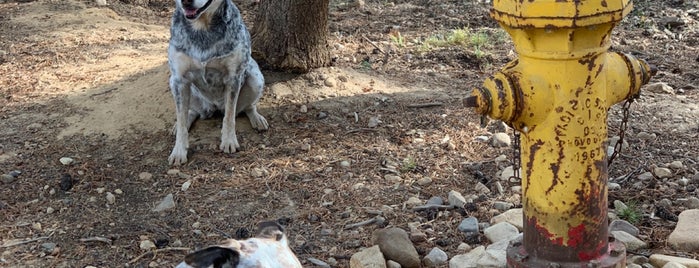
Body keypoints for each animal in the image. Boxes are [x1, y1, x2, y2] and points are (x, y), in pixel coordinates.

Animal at [168, 0, 270, 164]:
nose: (186, 1)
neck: (202, 28)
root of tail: (213, 107)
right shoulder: (179, 80)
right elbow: (181, 119)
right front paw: (178, 151)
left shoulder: (233, 77)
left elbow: (229, 116)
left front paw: (229, 141)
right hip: (176, 85)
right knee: (191, 111)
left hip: (256, 78)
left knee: (247, 107)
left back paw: (257, 118)